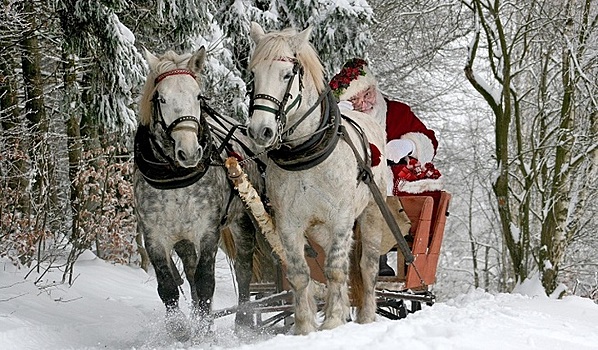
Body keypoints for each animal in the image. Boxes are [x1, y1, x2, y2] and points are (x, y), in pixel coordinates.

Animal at [247, 21, 390, 334]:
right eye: (253, 74)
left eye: (287, 74)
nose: (260, 131)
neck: (306, 153)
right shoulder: (288, 223)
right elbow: (300, 274)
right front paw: (304, 326)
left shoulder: (341, 219)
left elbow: (335, 270)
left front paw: (334, 321)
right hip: (319, 230)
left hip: (372, 213)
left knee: (367, 266)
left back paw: (366, 316)